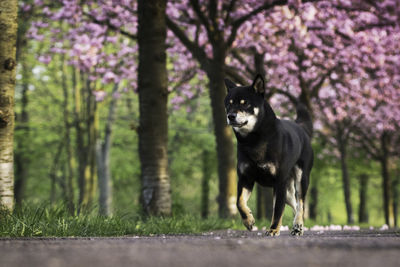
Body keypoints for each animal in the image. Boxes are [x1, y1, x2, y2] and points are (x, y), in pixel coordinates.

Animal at [225, 74, 312, 237]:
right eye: (229, 104)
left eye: (245, 103)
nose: (231, 116)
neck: (253, 140)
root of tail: (301, 128)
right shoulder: (246, 178)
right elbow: (239, 202)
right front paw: (249, 220)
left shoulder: (279, 181)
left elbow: (277, 209)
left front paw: (273, 229)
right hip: (287, 189)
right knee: (296, 204)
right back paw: (297, 226)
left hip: (300, 178)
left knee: (301, 203)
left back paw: (298, 225)